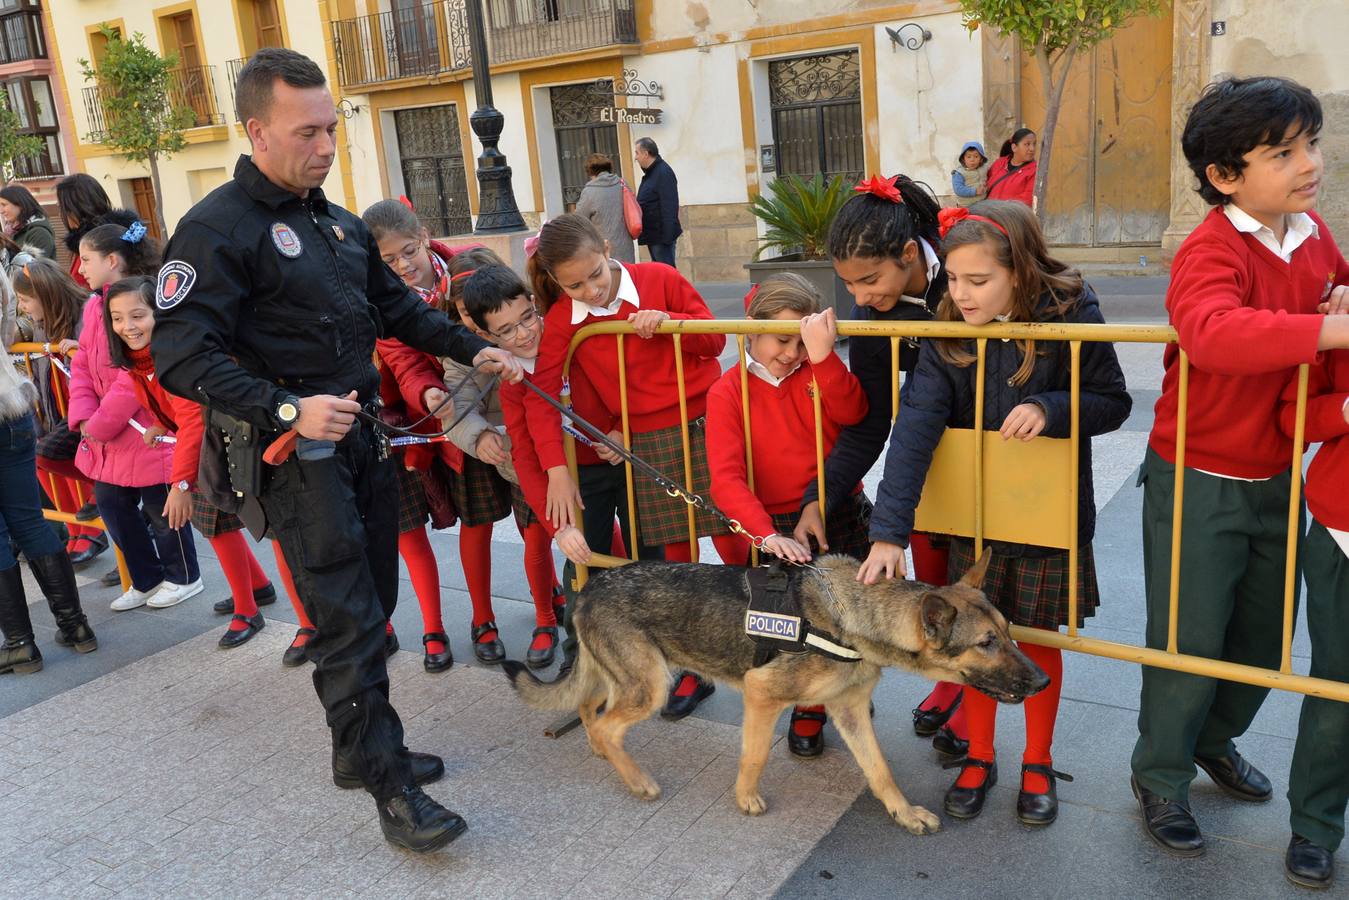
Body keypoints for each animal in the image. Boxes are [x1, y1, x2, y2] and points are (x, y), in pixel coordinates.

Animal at [501, 550, 1046, 836]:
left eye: (1009, 633)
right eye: (986, 643)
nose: (1042, 682)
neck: (853, 620)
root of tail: (592, 585)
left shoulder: (851, 712)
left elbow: (880, 771)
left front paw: (903, 812)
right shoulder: (761, 694)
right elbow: (756, 754)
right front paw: (745, 798)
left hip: (621, 679)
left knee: (592, 712)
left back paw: (601, 751)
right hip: (651, 687)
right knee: (610, 724)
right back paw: (637, 780)